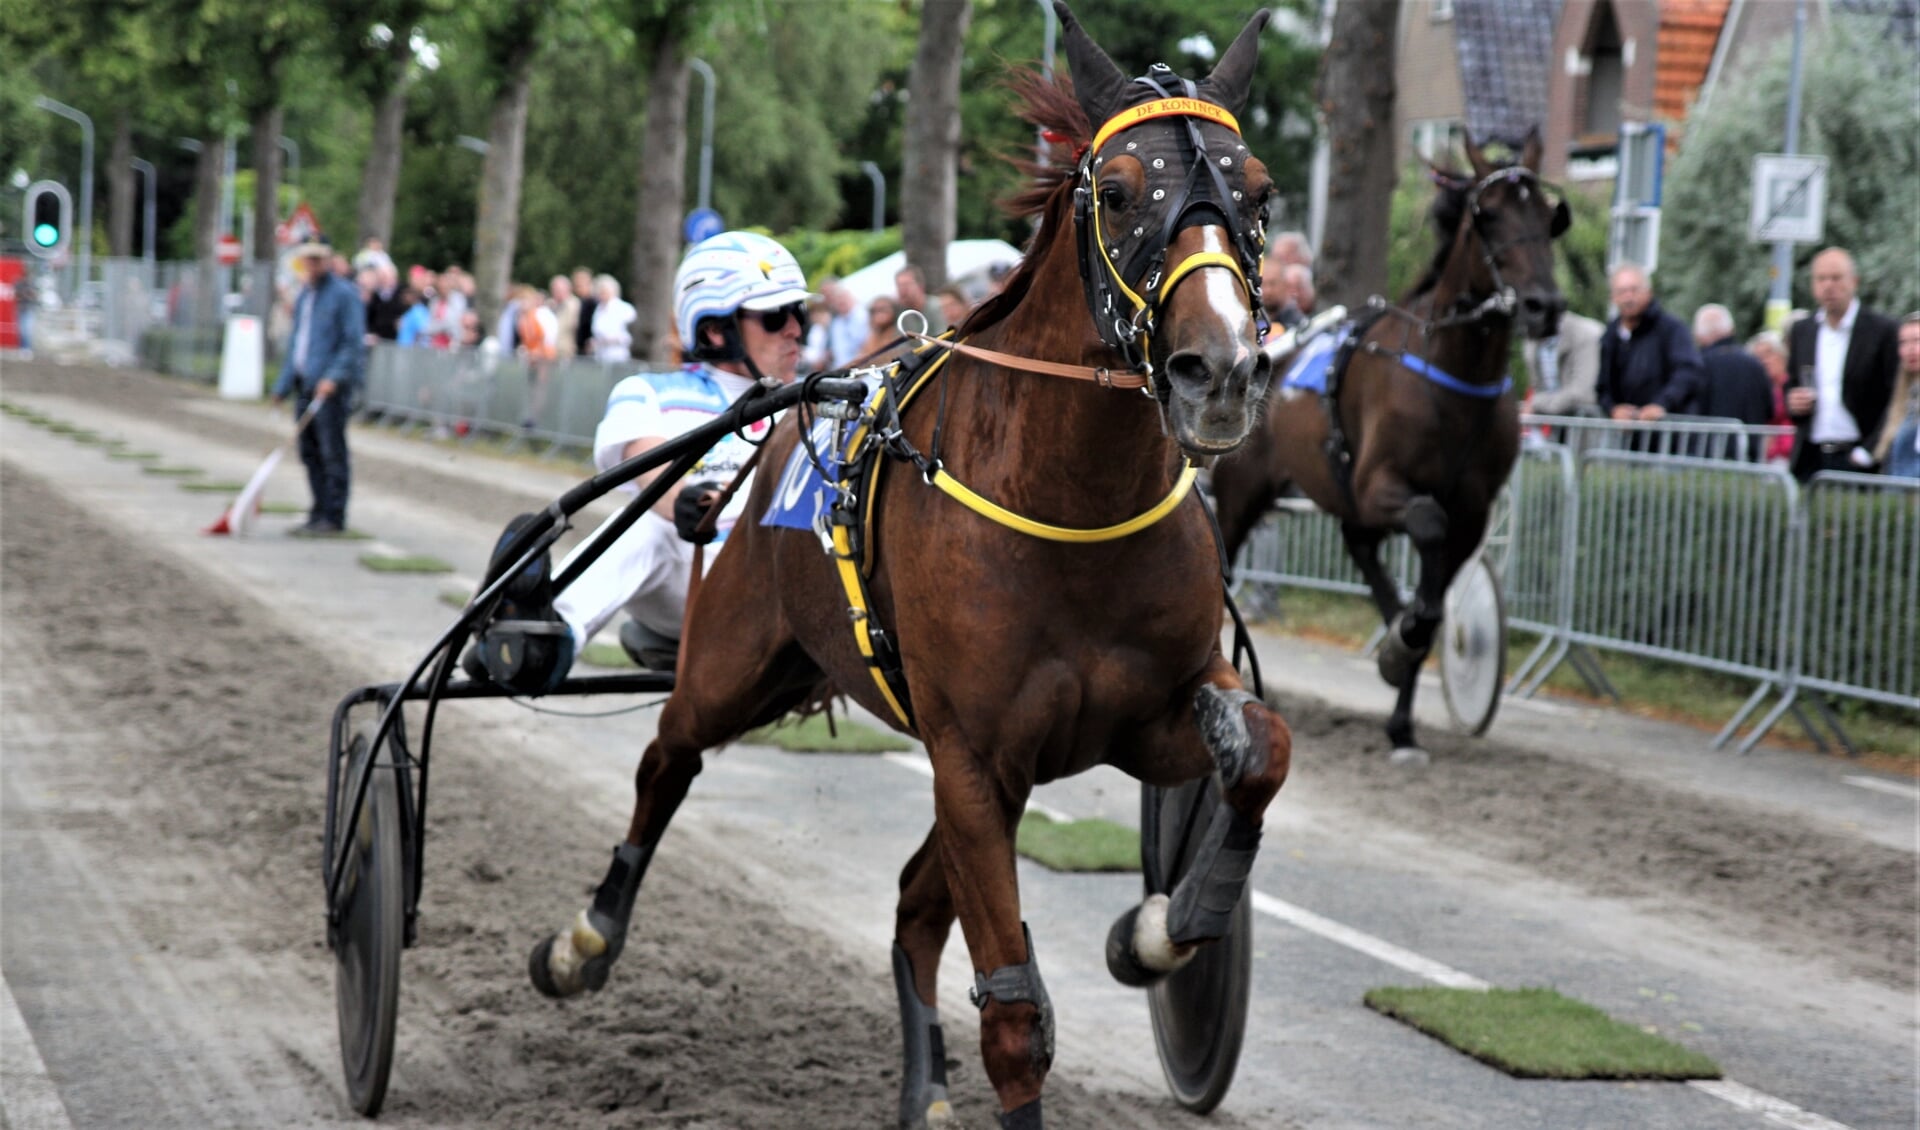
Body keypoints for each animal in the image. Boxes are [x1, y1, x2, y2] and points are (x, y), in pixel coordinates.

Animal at [522, 8, 1290, 1128]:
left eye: (1260, 192)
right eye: (1117, 192)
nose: (1222, 370)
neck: (1070, 506)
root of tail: (773, 442)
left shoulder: (1141, 716)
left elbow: (1260, 749)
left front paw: (1156, 930)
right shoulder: (973, 753)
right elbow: (1014, 1020)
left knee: (911, 900)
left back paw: (925, 1083)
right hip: (733, 658)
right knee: (668, 756)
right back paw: (585, 940)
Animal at [1221, 132, 1566, 763]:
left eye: (1550, 217)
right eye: (1488, 214)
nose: (1543, 306)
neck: (1454, 375)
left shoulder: (1472, 512)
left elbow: (1430, 602)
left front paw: (1403, 706)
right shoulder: (1379, 484)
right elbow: (1427, 527)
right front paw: (1401, 644)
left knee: (1361, 549)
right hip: (1242, 492)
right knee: (1226, 567)